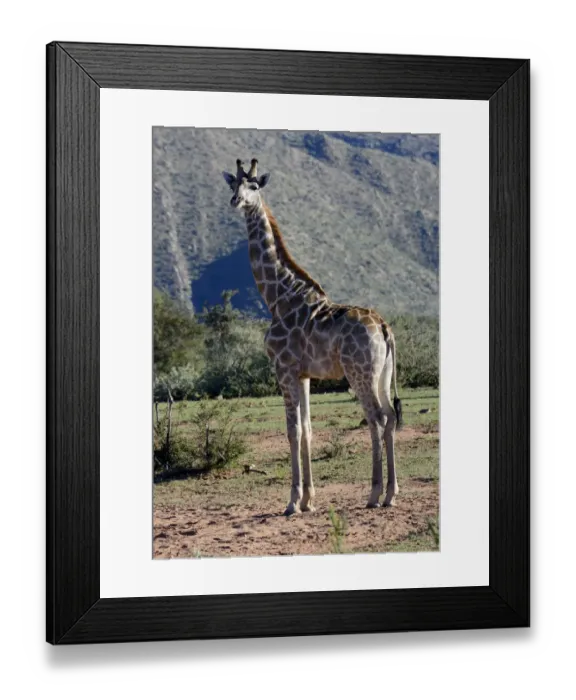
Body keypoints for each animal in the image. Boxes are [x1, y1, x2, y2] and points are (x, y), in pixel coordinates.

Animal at [222, 159, 403, 516]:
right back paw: (392, 493)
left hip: (360, 373)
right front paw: (309, 500)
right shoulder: (303, 374)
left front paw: (293, 502)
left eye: (254, 186)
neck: (277, 298)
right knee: (390, 417)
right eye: (233, 184)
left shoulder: (283, 369)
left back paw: (374, 494)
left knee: (375, 418)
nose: (236, 201)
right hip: (382, 374)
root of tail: (384, 328)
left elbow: (292, 430)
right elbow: (307, 429)